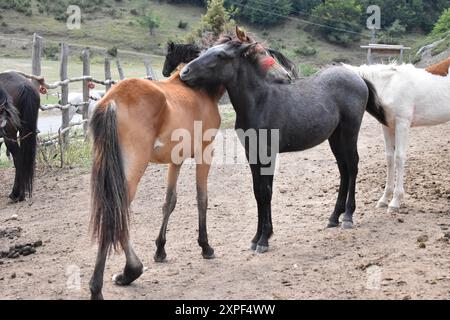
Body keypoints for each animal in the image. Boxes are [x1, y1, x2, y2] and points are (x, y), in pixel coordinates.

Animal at [89, 35, 294, 300]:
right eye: (261, 54)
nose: (287, 77)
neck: (199, 89)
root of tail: (113, 101)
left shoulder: (175, 160)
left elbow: (170, 201)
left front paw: (161, 250)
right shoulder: (205, 153)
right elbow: (201, 198)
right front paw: (206, 246)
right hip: (131, 171)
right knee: (117, 213)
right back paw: (127, 273)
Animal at [181, 29, 388, 255]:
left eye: (220, 55)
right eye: (208, 49)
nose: (184, 73)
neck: (259, 102)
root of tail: (357, 76)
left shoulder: (268, 154)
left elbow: (266, 192)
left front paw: (264, 240)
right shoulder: (252, 153)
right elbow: (258, 192)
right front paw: (256, 238)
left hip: (350, 131)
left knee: (353, 166)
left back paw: (348, 216)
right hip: (335, 136)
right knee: (343, 169)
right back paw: (334, 217)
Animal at [344, 62, 450, 212]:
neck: (390, 85)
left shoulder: (402, 123)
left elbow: (399, 157)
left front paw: (395, 201)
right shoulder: (388, 126)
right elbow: (389, 158)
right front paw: (384, 199)